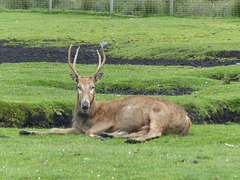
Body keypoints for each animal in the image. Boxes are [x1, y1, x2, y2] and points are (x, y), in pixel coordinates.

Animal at [19, 43, 191, 143]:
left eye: (93, 86)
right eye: (78, 86)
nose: (85, 105)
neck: (88, 117)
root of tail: (187, 118)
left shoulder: (107, 121)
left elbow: (89, 132)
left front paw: (103, 134)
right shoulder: (77, 128)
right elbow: (54, 129)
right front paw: (26, 130)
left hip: (158, 114)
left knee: (154, 133)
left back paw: (123, 138)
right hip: (148, 124)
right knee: (142, 132)